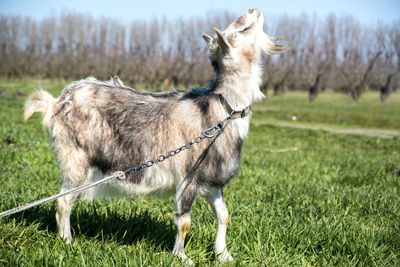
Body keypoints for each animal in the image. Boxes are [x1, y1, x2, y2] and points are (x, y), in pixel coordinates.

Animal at [23, 8, 286, 266]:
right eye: (239, 30)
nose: (253, 9)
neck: (222, 109)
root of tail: (56, 102)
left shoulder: (213, 181)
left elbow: (224, 216)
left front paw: (223, 254)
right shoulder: (188, 178)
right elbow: (184, 222)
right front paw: (181, 257)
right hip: (75, 161)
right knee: (63, 201)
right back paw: (67, 243)